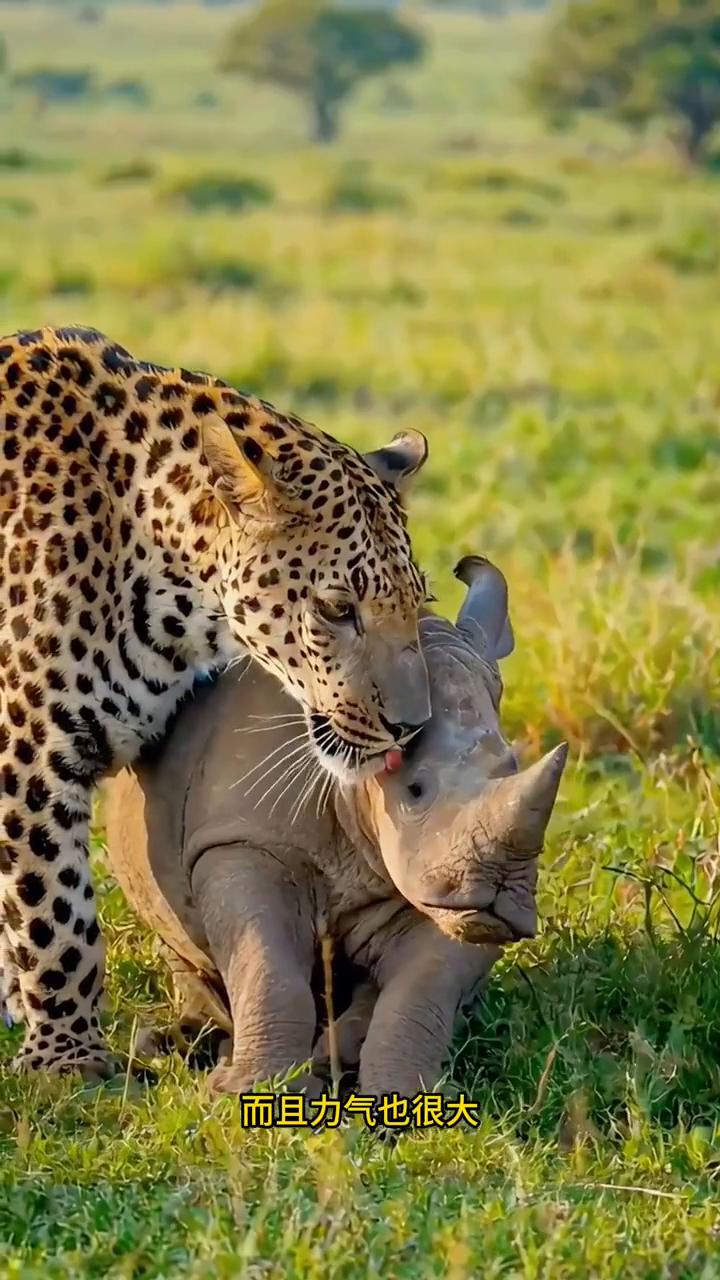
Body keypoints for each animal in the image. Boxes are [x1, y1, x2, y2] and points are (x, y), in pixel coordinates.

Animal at [0, 325, 427, 1075]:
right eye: (337, 609)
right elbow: (55, 909)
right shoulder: (29, 749)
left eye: (418, 600)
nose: (409, 729)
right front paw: (65, 1061)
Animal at [103, 560, 563, 1100]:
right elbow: (266, 965)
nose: (500, 891)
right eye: (414, 790)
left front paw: (403, 1102)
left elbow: (421, 991)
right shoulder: (241, 842)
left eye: (512, 764)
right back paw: (181, 1045)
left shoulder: (440, 885)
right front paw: (251, 1093)